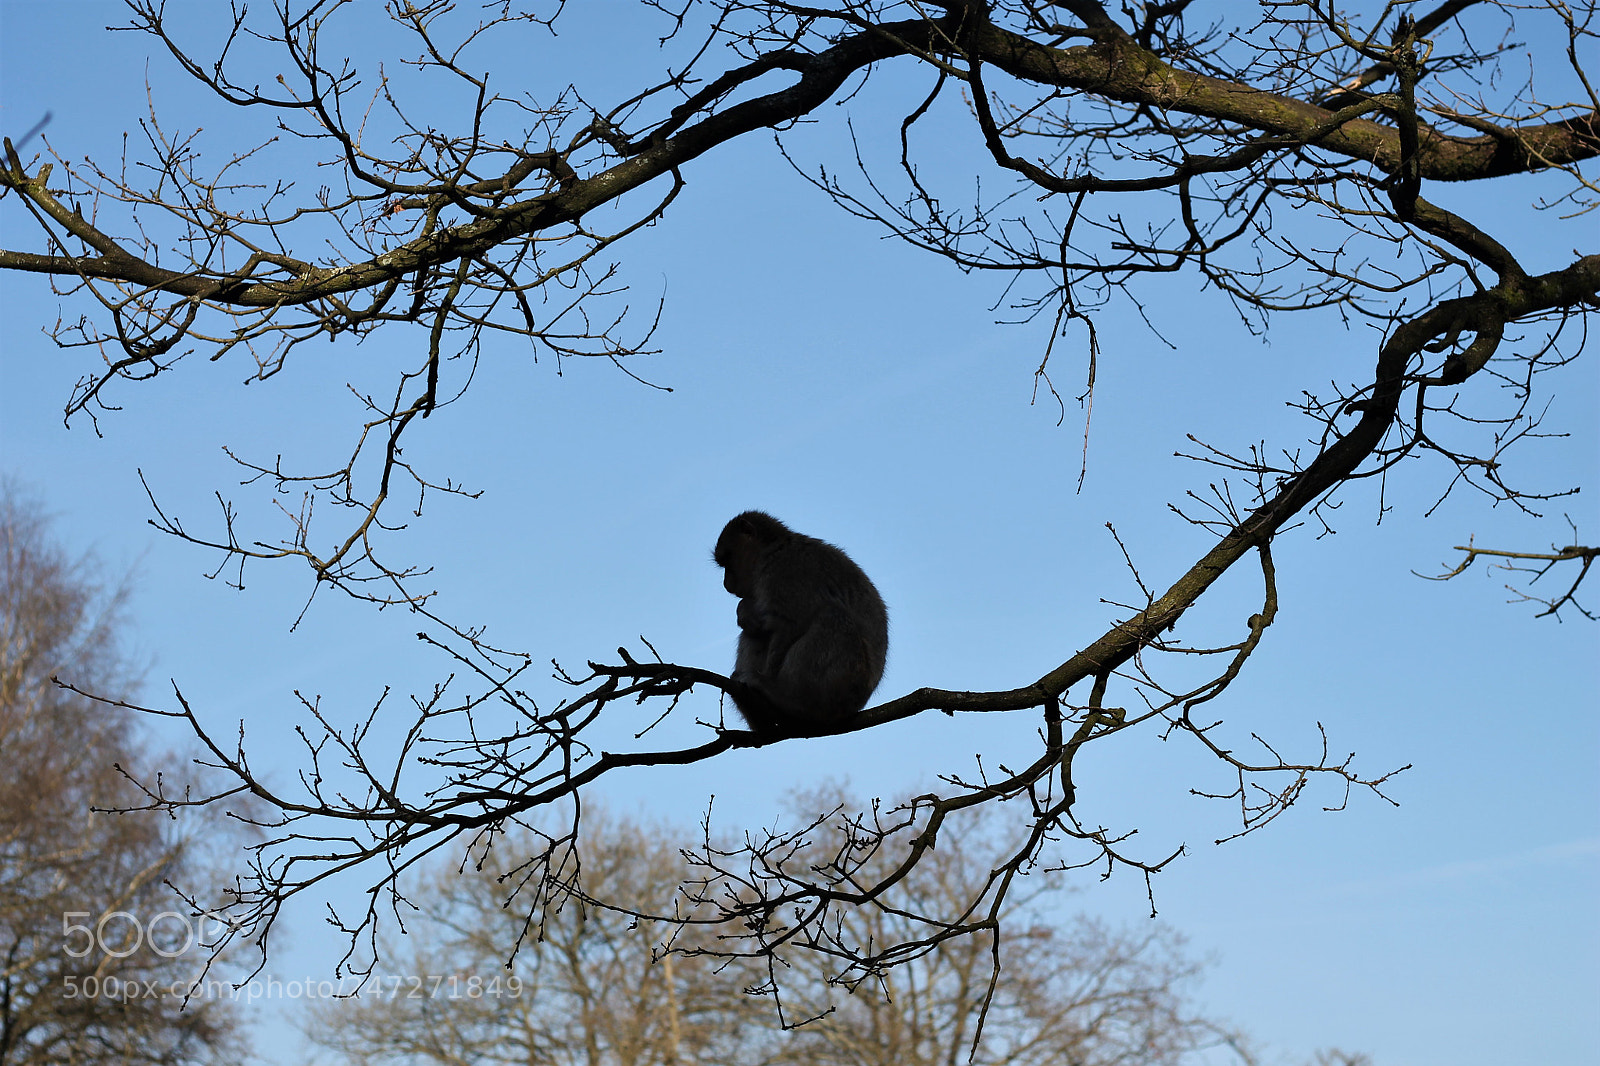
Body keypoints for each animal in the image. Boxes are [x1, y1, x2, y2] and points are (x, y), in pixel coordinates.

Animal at [713, 510, 889, 736]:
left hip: (845, 685)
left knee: (832, 616)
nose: (726, 583)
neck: (773, 549)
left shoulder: (783, 571)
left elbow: (790, 624)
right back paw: (758, 716)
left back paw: (788, 699)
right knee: (755, 632)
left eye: (727, 560)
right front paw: (746, 613)